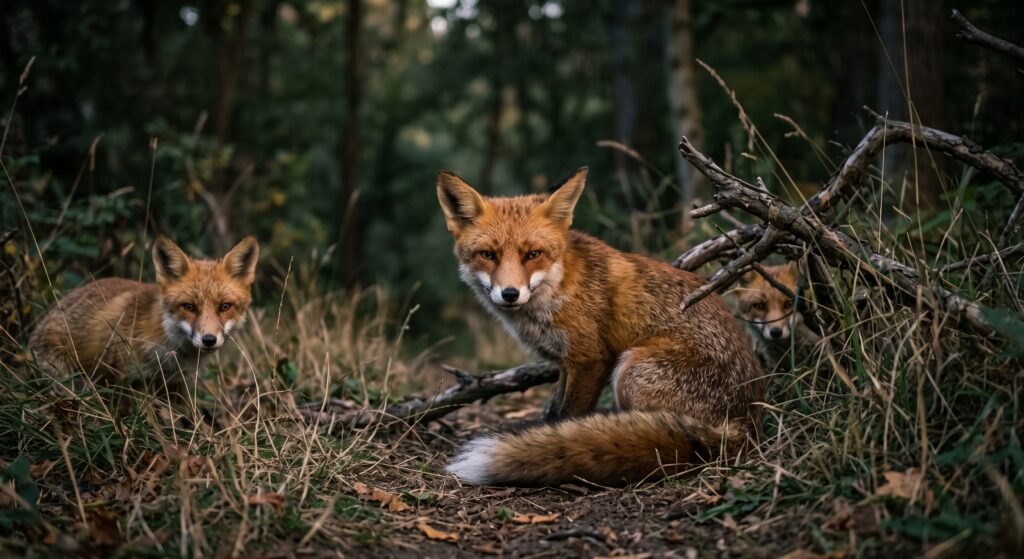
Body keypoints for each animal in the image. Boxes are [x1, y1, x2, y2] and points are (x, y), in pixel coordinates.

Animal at [437, 167, 763, 486]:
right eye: (488, 255)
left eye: (533, 254)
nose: (509, 294)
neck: (558, 286)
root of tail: (745, 426)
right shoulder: (566, 361)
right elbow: (556, 412)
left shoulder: (590, 359)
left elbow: (567, 415)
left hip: (631, 369)